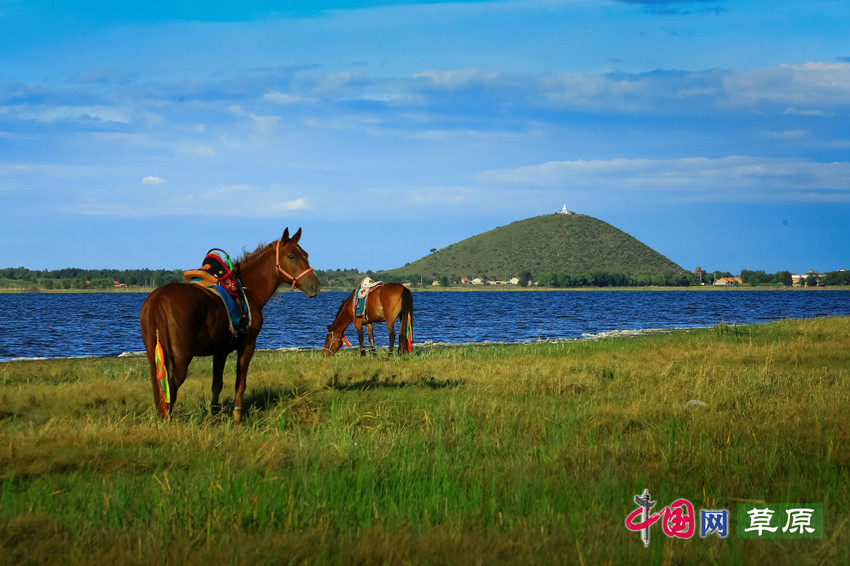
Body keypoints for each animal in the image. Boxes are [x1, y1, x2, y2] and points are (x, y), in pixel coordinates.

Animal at [139, 227, 318, 422]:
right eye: (291, 256)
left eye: (306, 254)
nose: (314, 285)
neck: (248, 290)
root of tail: (158, 300)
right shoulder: (247, 345)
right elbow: (240, 382)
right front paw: (237, 416)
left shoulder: (220, 351)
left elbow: (217, 384)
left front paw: (214, 414)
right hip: (180, 359)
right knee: (170, 390)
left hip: (154, 356)